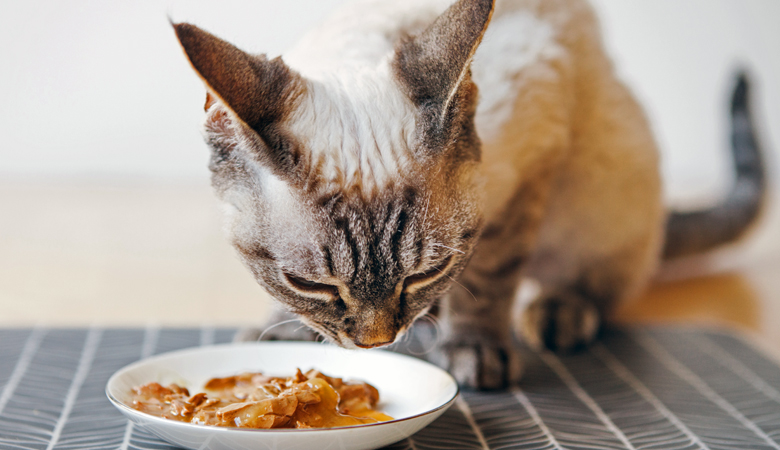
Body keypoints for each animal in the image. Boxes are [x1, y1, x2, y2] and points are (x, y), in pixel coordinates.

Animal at [174, 0, 764, 388]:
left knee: (599, 282)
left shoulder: (529, 170)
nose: (376, 344)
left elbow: (487, 279)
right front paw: (283, 330)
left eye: (425, 273)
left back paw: (557, 311)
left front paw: (474, 352)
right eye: (310, 284)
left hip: (604, 188)